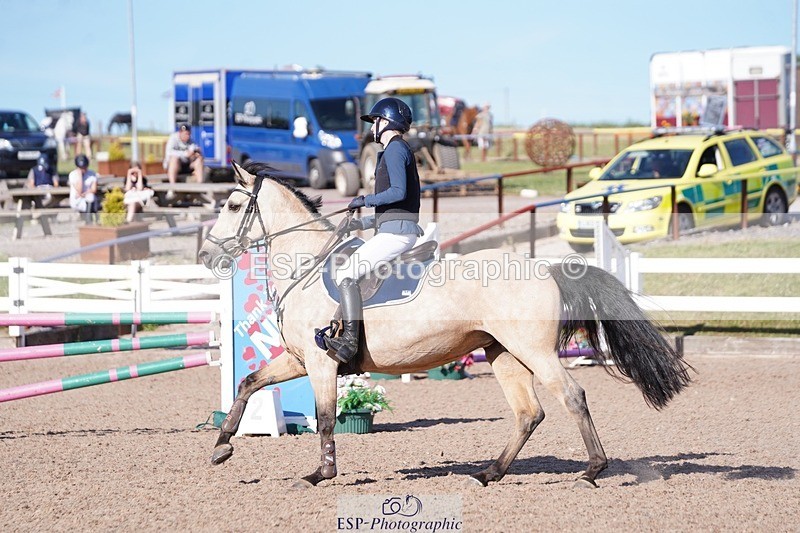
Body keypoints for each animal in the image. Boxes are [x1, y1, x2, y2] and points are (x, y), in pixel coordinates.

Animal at [198, 161, 692, 489]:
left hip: (534, 351)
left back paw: (591, 470)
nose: (206, 255)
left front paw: (321, 474)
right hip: (502, 353)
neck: (308, 265)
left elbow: (323, 418)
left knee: (571, 396)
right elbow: (248, 383)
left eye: (233, 204)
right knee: (528, 413)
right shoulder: (299, 359)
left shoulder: (322, 364)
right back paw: (489, 473)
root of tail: (546, 268)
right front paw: (222, 447)